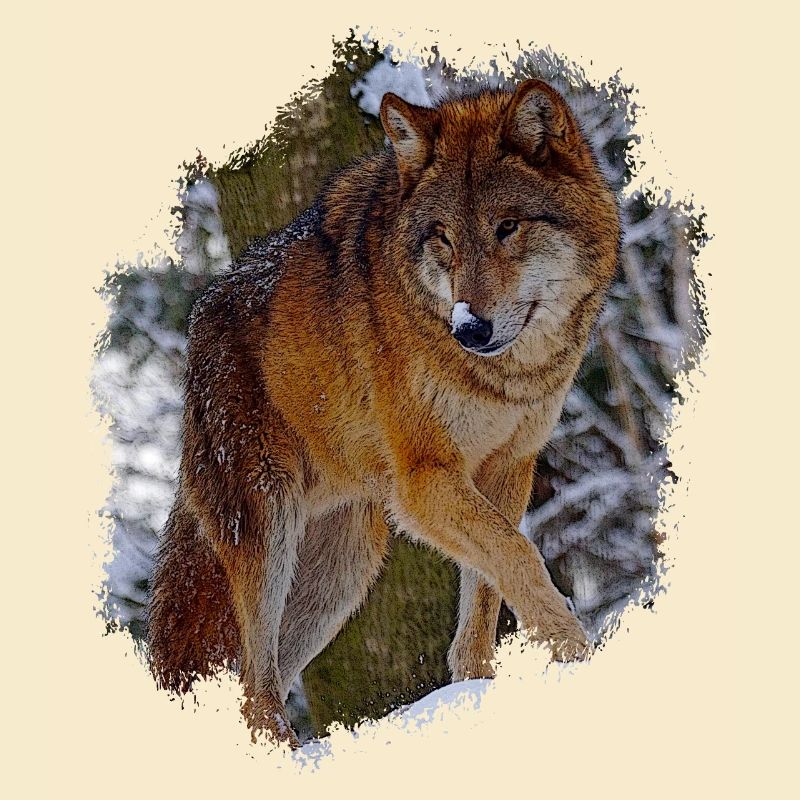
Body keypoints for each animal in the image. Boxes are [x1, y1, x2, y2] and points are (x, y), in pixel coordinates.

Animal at [147, 78, 621, 746]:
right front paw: (577, 655)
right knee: (255, 687)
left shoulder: (508, 468)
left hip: (341, 571)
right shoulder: (425, 481)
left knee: (259, 675)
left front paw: (476, 687)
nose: (469, 329)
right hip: (267, 532)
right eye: (443, 237)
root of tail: (200, 319)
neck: (506, 377)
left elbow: (488, 592)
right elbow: (521, 558)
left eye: (507, 227)